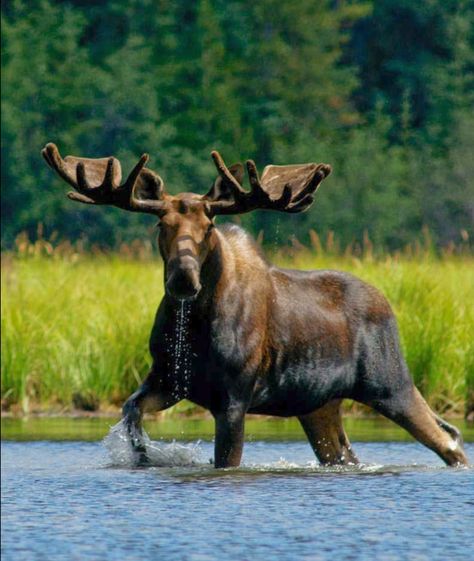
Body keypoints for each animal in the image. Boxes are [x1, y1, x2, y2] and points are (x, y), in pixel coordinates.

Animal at [42, 142, 468, 466]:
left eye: (208, 227)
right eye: (161, 225)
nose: (183, 279)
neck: (194, 325)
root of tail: (388, 305)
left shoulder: (234, 397)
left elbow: (226, 460)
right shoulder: (168, 380)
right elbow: (130, 413)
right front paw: (145, 455)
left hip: (390, 383)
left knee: (448, 439)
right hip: (319, 404)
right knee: (348, 455)